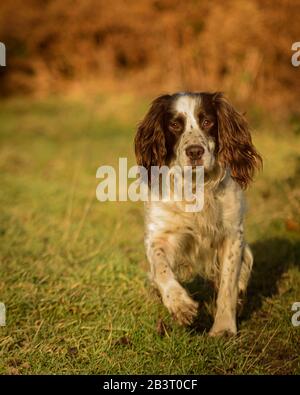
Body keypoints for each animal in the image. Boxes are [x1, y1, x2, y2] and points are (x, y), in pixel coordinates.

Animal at [135, 93, 262, 338]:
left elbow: (228, 285)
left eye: (207, 121)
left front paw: (223, 328)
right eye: (175, 125)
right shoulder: (158, 236)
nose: (195, 151)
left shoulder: (232, 235)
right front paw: (180, 305)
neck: (196, 187)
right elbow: (162, 269)